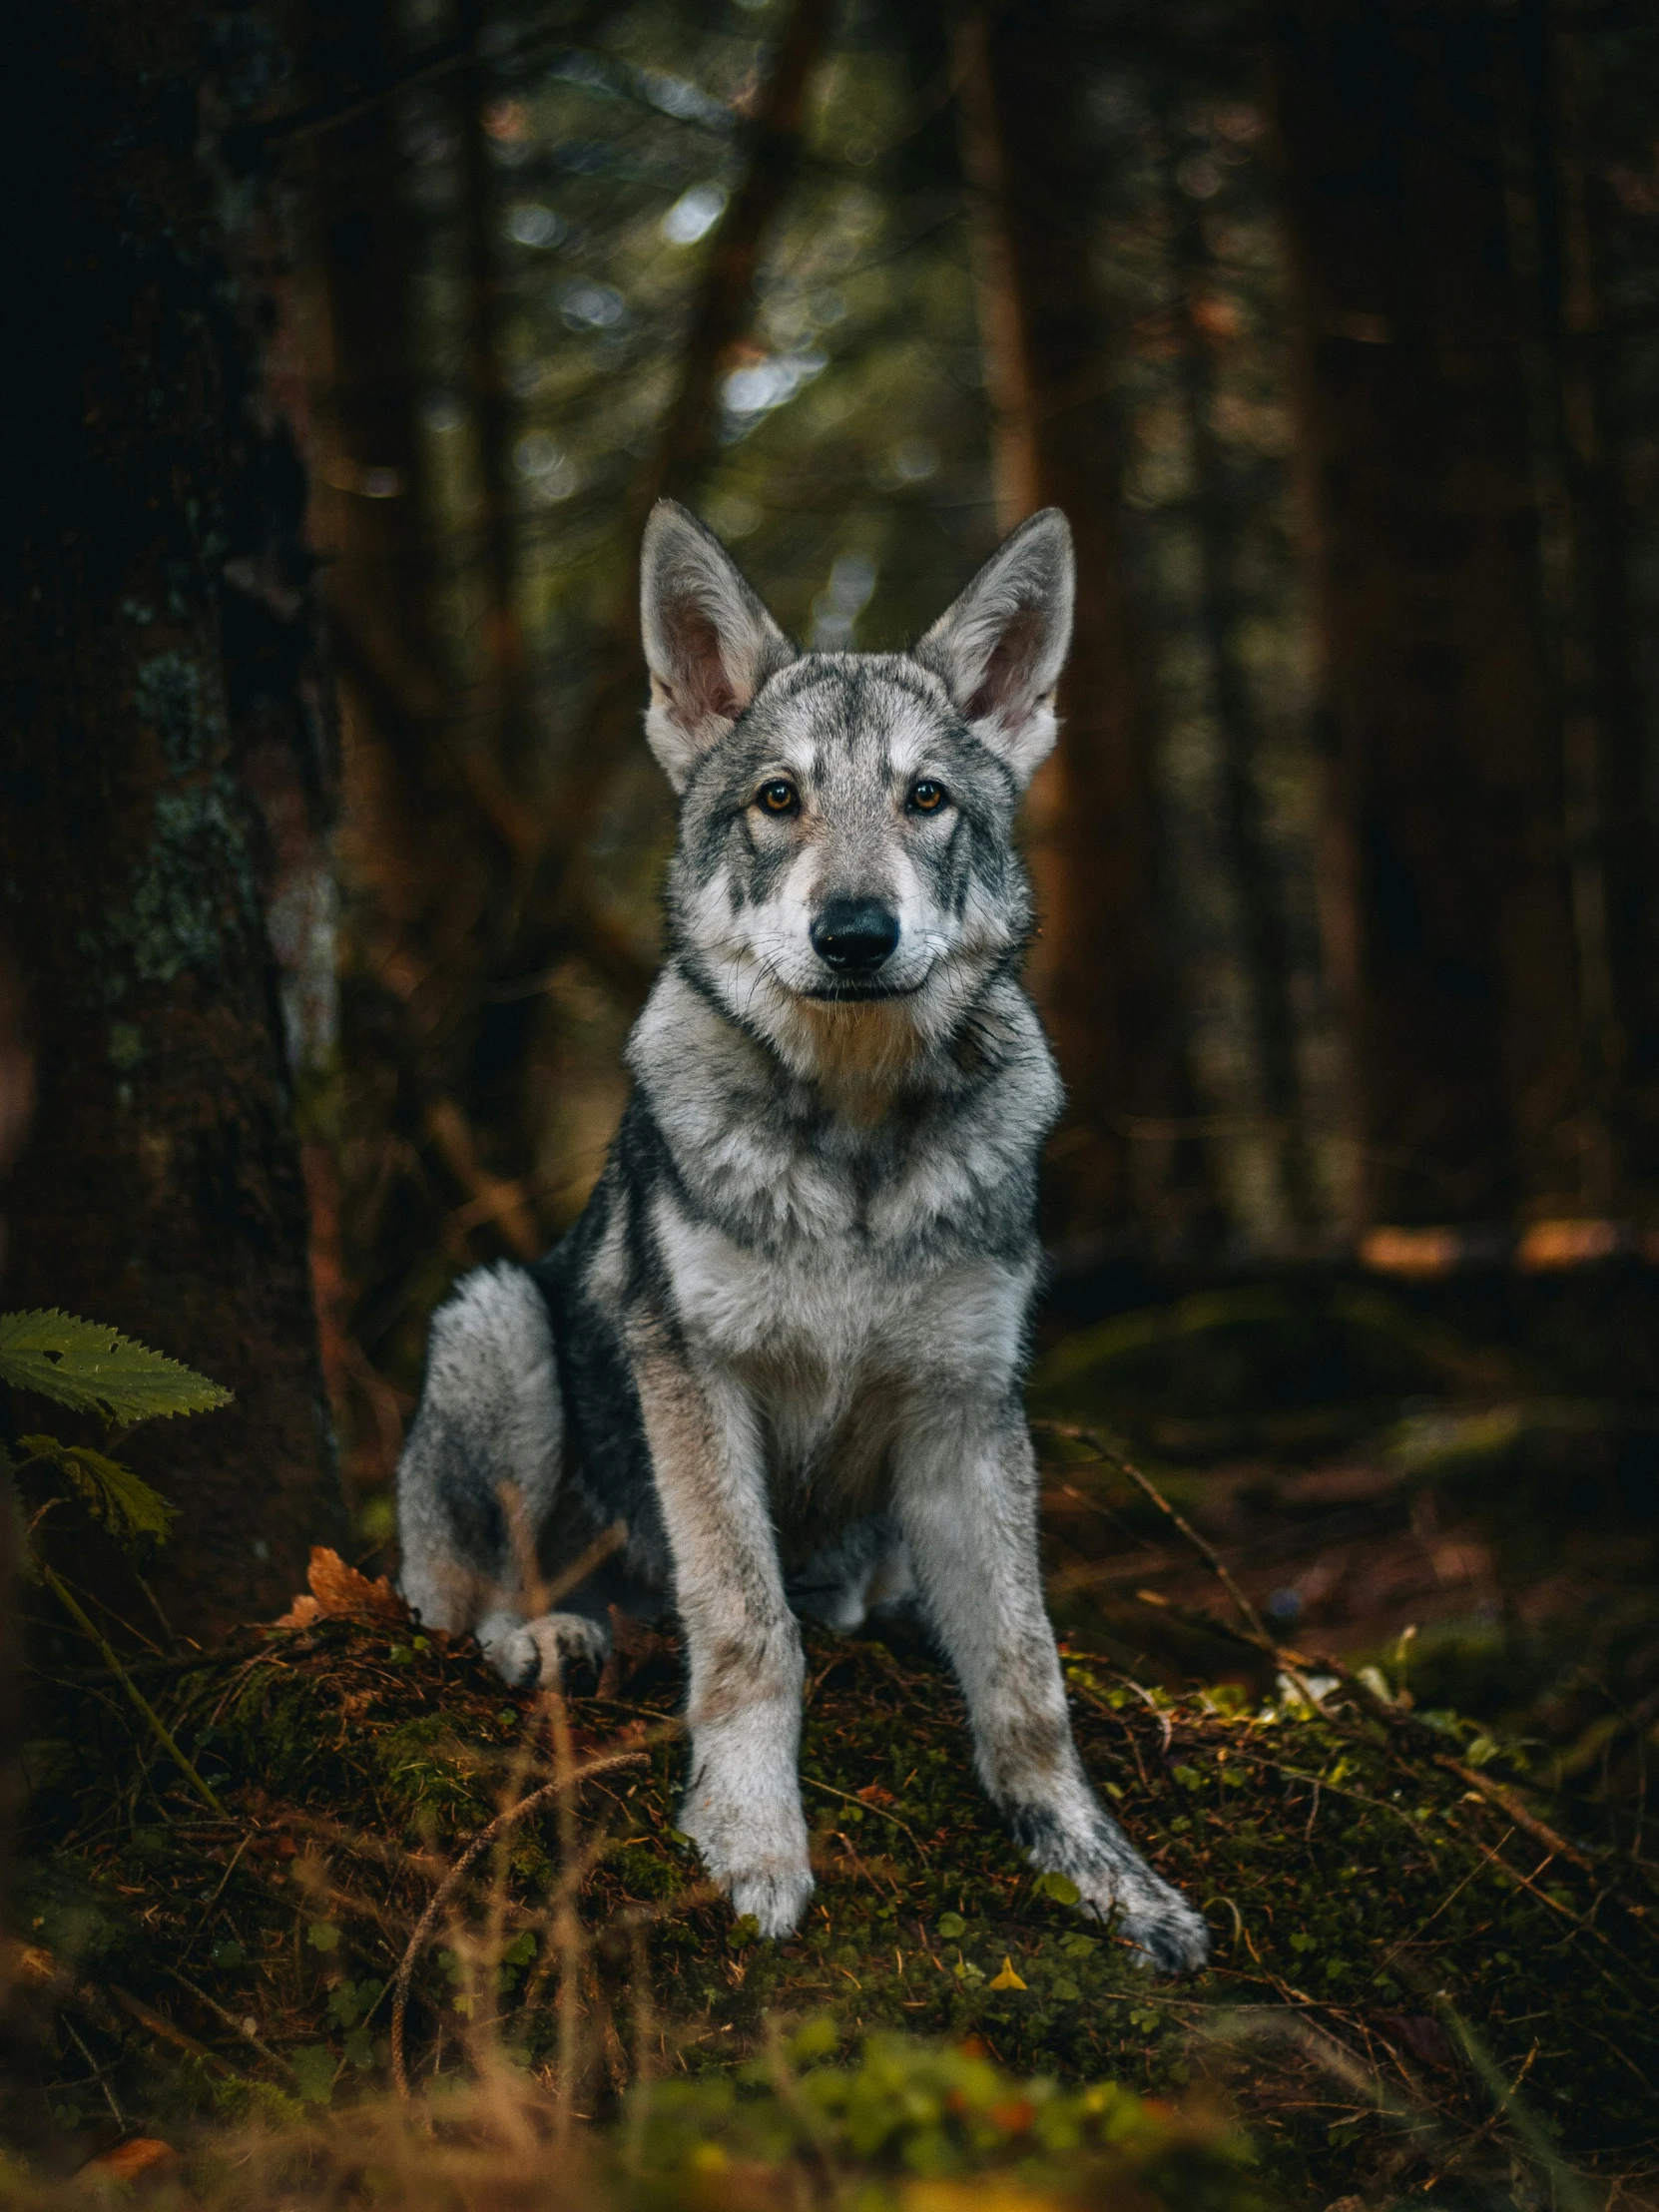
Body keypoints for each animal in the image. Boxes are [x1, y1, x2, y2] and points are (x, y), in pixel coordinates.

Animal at [397, 502, 1212, 1972]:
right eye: (778, 799)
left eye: (924, 799)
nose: (854, 931)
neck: (855, 1146)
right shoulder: (696, 1378)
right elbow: (746, 1629)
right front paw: (750, 1842)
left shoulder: (969, 1408)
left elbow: (1027, 1679)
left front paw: (1105, 1874)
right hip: (500, 1319)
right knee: (458, 1597)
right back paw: (547, 1635)